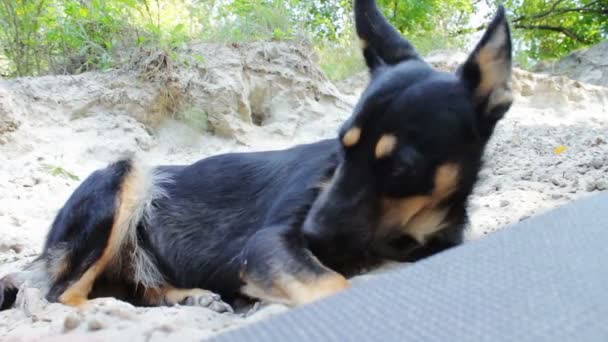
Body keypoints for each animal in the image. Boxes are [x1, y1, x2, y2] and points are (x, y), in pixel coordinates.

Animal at [0, 0, 512, 310]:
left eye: (402, 166)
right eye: (341, 147)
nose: (312, 234)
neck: (408, 231)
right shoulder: (268, 245)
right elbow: (335, 283)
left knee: (130, 286)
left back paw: (189, 296)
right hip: (124, 178)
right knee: (64, 296)